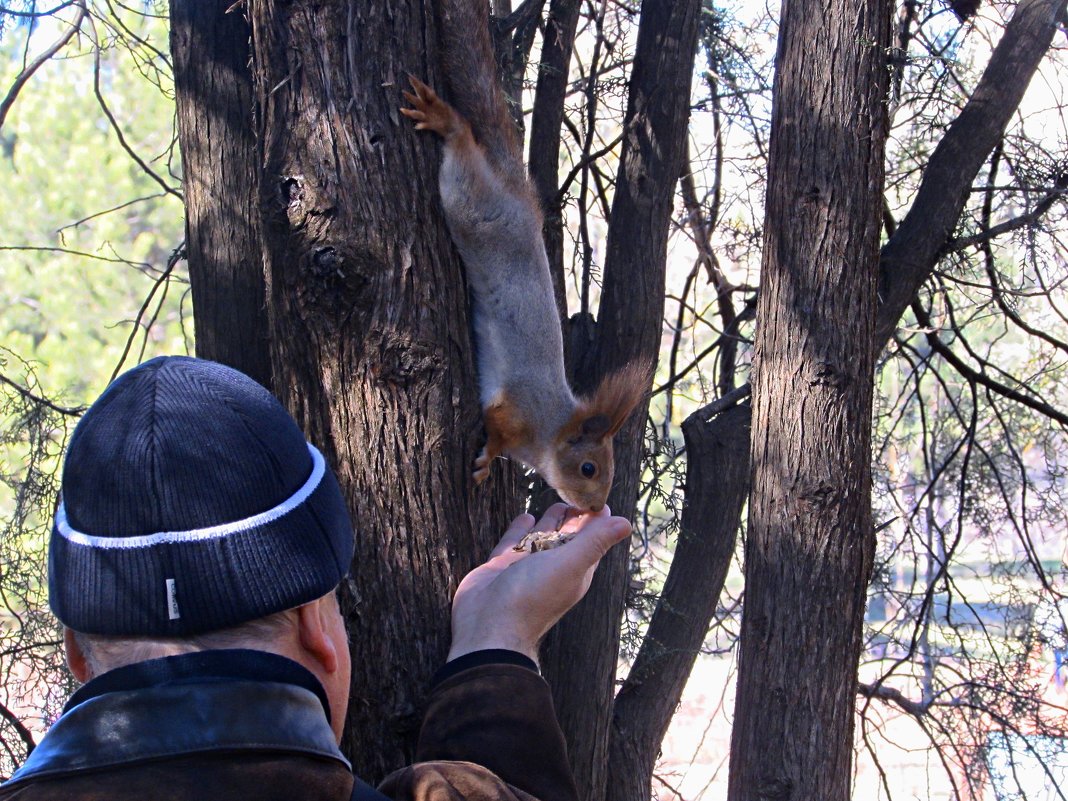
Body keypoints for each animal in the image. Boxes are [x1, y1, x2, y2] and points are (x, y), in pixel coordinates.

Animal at [401, 76, 645, 514]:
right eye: (588, 469)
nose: (594, 509)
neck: (550, 429)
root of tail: (523, 206)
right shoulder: (513, 409)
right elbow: (496, 428)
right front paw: (487, 459)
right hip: (475, 212)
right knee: (464, 155)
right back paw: (444, 119)